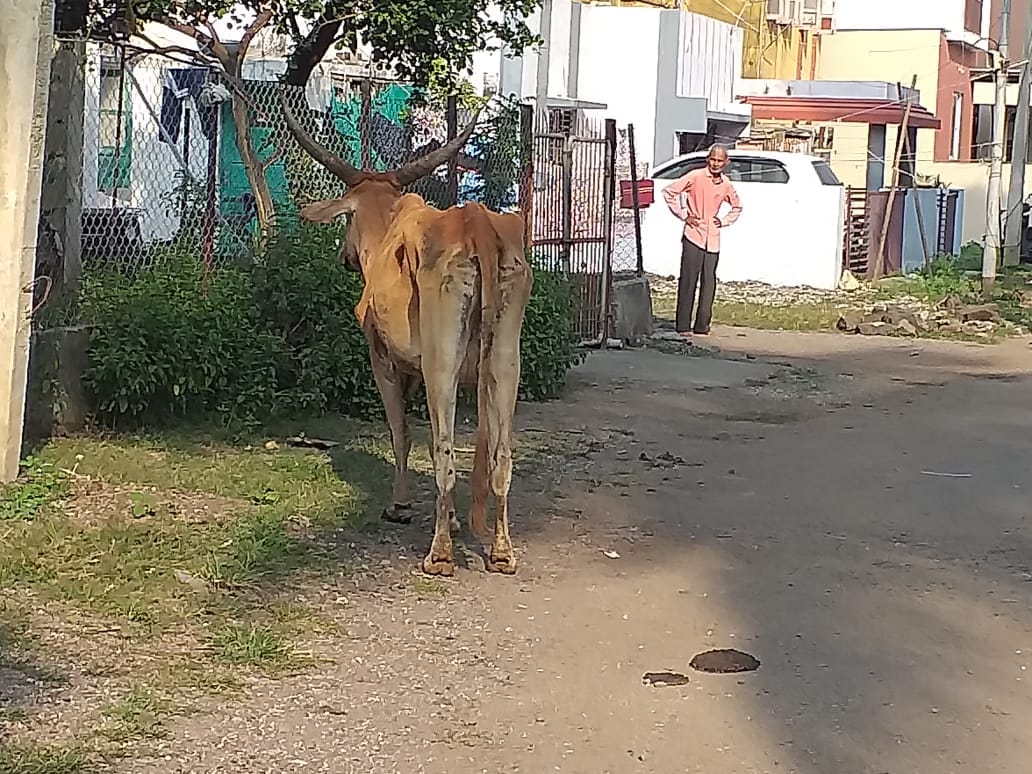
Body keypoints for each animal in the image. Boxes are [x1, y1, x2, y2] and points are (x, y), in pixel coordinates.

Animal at [282, 98, 533, 577]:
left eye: (347, 218)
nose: (345, 257)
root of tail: (476, 223)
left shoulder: (383, 357)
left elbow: (402, 432)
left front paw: (400, 507)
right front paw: (453, 520)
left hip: (441, 363)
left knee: (446, 456)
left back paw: (439, 556)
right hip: (504, 361)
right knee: (500, 458)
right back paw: (502, 553)